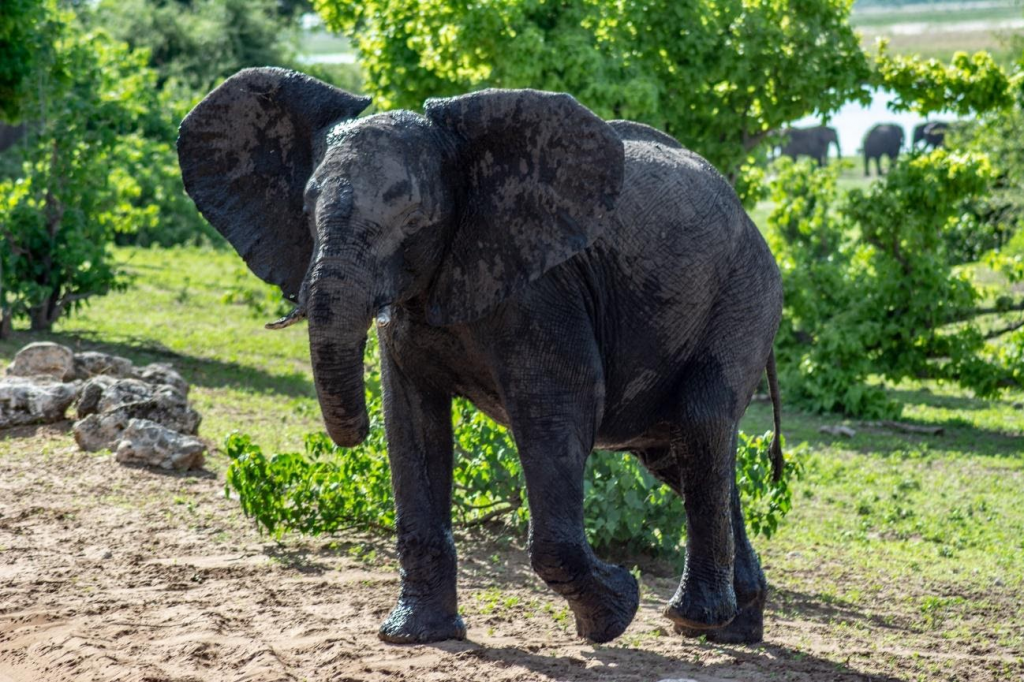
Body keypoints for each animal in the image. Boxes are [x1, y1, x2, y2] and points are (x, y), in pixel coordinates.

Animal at [178, 70, 782, 647]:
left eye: (416, 219)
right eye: (306, 207)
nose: (352, 433)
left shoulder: (544, 289)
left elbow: (557, 414)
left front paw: (615, 613)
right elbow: (413, 425)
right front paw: (414, 636)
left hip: (745, 296)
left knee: (700, 423)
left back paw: (693, 619)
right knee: (677, 454)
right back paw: (735, 628)